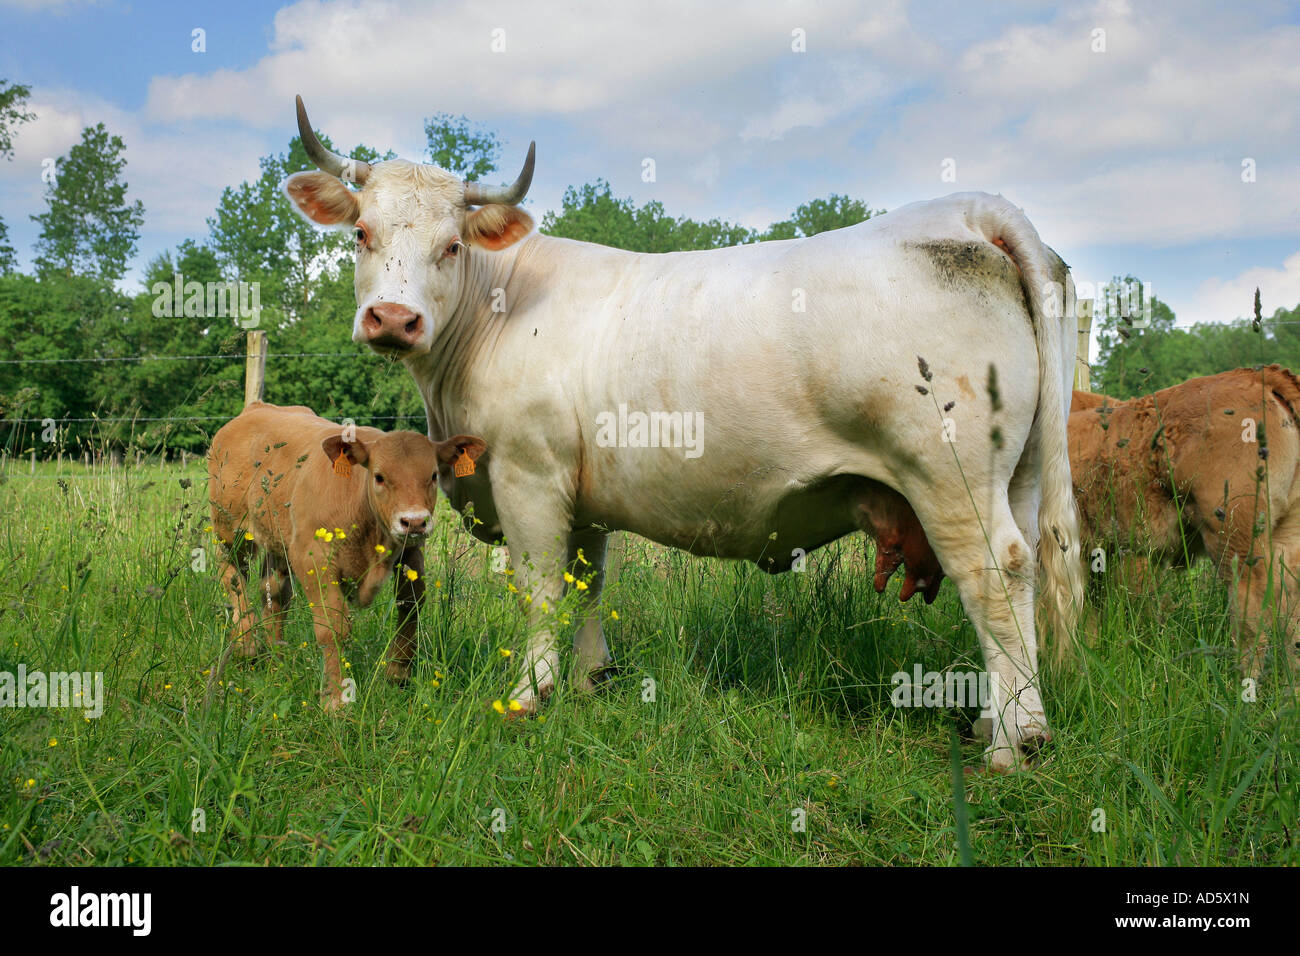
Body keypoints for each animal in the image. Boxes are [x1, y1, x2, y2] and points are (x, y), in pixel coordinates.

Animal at [208, 401, 486, 709]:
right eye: (379, 476)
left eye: (433, 475)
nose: (414, 521)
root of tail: (256, 408)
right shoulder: (311, 558)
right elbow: (332, 625)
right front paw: (336, 698)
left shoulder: (411, 551)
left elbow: (411, 603)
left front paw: (397, 673)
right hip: (229, 528)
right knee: (233, 575)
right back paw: (246, 642)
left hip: (276, 539)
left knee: (274, 594)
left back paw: (276, 659)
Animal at [283, 96, 1085, 769]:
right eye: (362, 233)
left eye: (451, 246)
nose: (394, 319)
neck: (492, 312)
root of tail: (966, 210)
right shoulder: (583, 490)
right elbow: (588, 581)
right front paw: (592, 679)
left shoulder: (528, 473)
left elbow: (540, 587)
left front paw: (530, 694)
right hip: (1020, 472)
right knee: (1027, 570)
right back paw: (994, 720)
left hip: (949, 474)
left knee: (996, 573)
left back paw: (1015, 740)